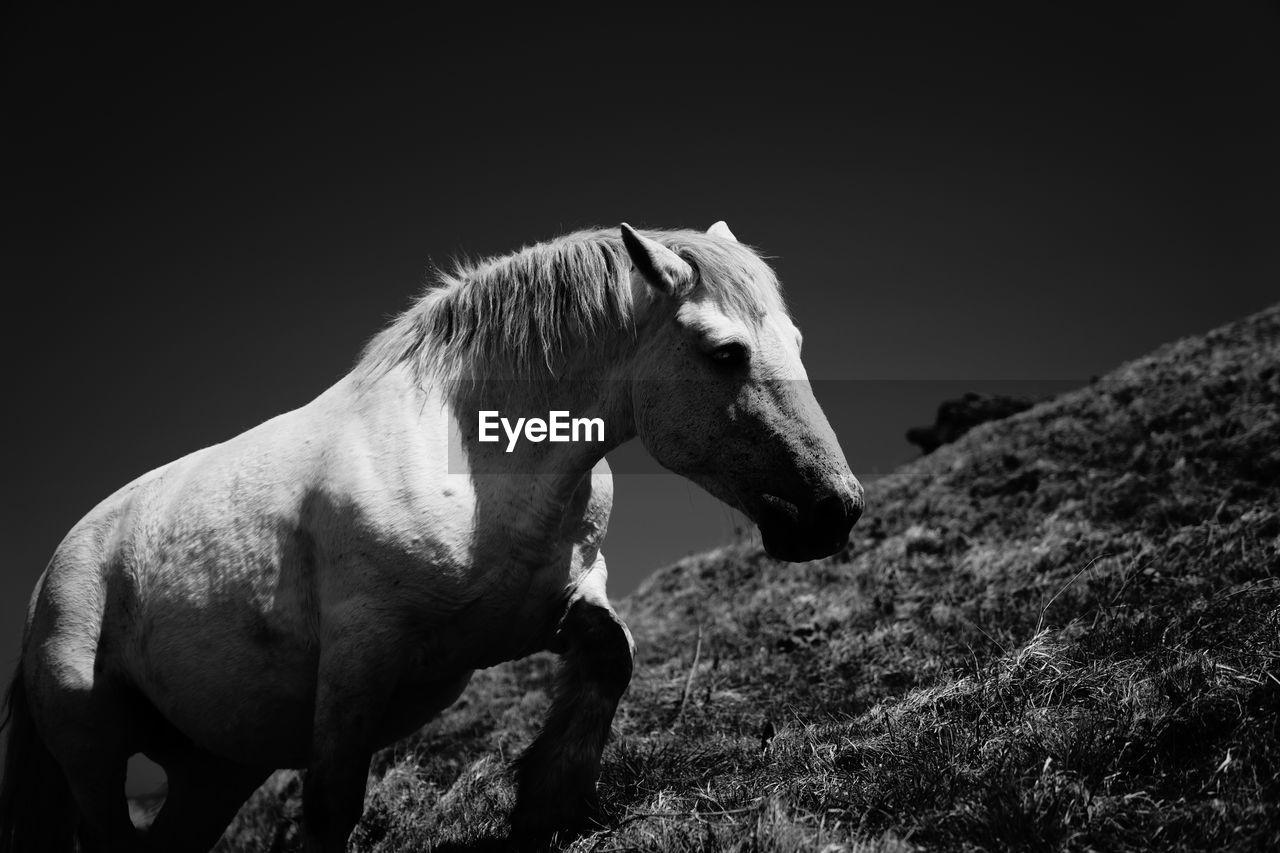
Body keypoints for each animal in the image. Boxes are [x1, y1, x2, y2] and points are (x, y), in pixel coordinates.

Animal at [0, 220, 865, 850]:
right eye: (726, 352)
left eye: (795, 343)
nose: (837, 508)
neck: (478, 461)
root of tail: (53, 575)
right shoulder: (359, 657)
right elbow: (330, 806)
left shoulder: (552, 609)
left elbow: (610, 658)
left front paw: (548, 802)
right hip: (91, 747)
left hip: (214, 767)